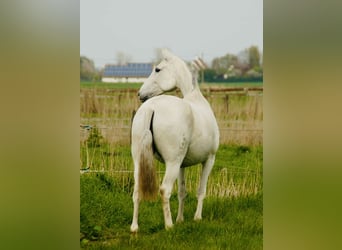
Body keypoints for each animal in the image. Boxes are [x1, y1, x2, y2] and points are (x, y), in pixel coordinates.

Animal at [130, 48, 220, 232]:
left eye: (157, 69)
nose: (140, 94)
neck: (194, 98)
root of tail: (151, 107)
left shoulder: (182, 165)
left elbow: (182, 192)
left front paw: (180, 219)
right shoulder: (209, 160)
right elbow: (201, 190)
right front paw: (196, 218)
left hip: (139, 161)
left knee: (136, 191)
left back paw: (135, 227)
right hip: (172, 163)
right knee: (165, 190)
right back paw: (169, 225)